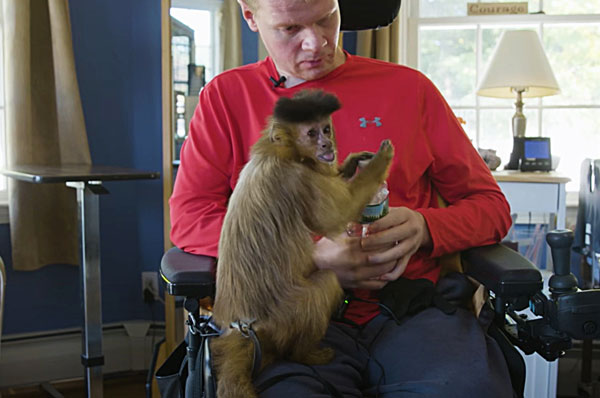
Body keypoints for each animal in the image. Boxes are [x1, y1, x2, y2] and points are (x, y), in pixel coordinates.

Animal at [211, 90, 394, 398]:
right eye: (311, 133)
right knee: (328, 281)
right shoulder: (296, 178)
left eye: (326, 129)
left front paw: (352, 163)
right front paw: (380, 160)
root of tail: (247, 327)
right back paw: (305, 354)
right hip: (287, 319)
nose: (327, 143)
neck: (283, 153)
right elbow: (337, 215)